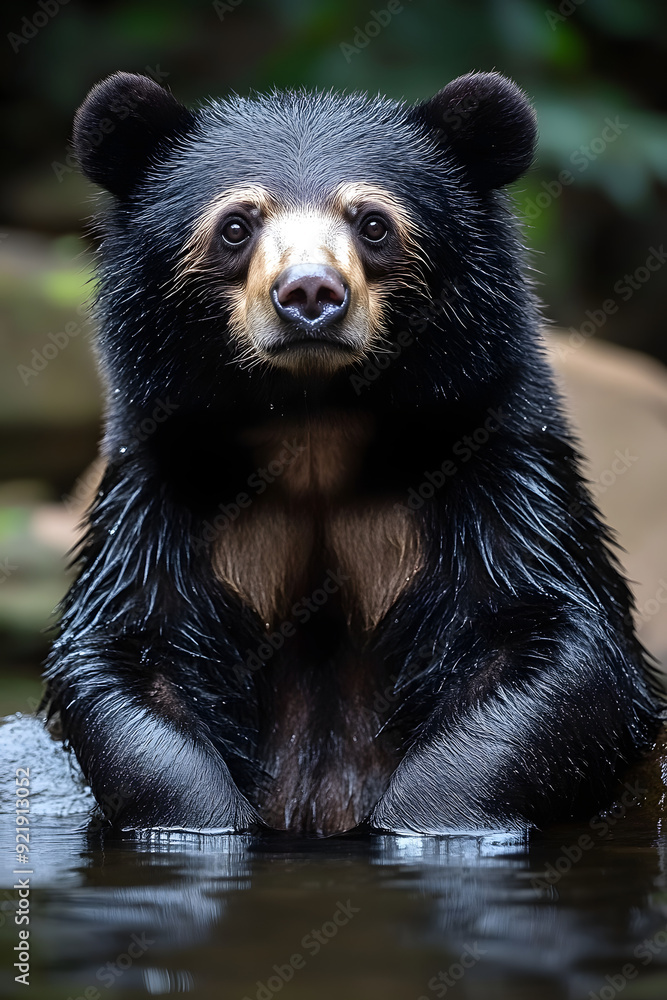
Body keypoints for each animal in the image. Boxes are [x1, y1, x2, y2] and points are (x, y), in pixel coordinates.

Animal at [44, 69, 663, 837]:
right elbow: (132, 648)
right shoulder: (164, 489)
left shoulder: (498, 471)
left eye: (372, 223)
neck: (317, 425)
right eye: (236, 225)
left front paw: (426, 820)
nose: (310, 293)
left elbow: (549, 638)